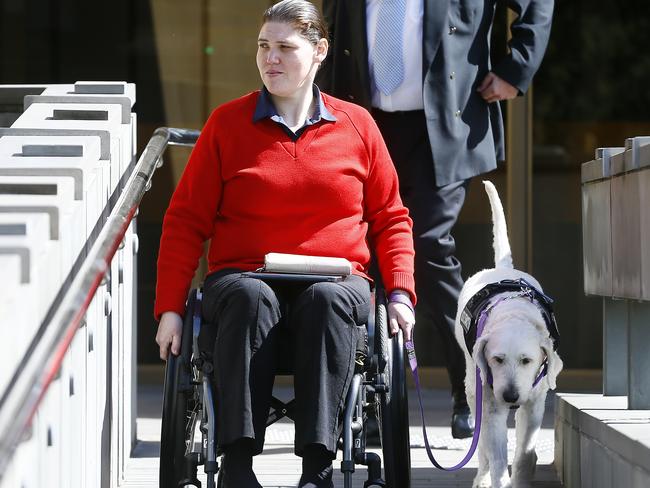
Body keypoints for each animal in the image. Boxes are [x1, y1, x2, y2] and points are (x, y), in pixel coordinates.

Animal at [450, 181, 560, 486]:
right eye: (497, 359)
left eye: (527, 361)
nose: (510, 396)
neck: (513, 313)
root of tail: (503, 268)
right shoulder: (489, 403)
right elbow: (497, 455)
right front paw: (498, 478)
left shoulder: (534, 403)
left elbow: (524, 453)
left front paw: (521, 477)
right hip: (472, 387)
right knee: (483, 448)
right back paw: (482, 476)